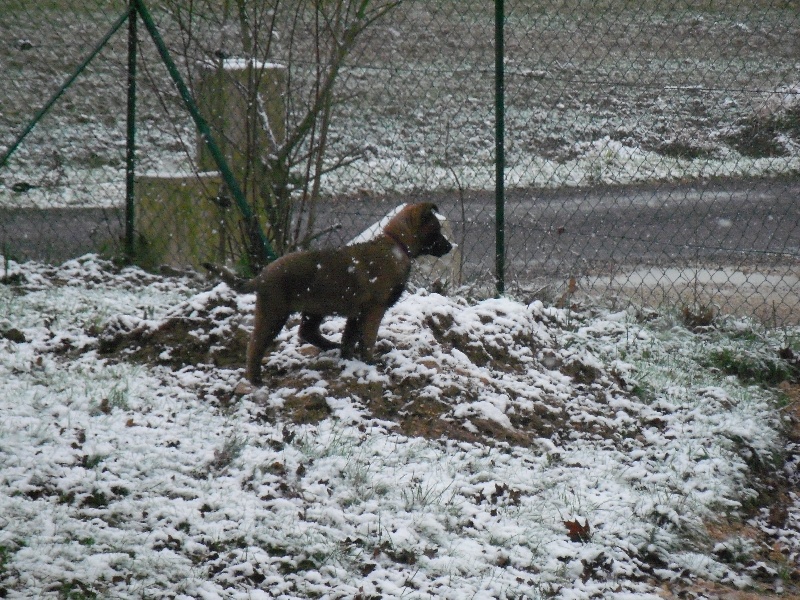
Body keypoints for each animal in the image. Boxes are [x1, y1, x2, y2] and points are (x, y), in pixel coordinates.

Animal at [205, 203, 450, 384]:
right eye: (436, 230)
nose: (450, 247)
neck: (396, 244)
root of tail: (262, 275)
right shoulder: (374, 310)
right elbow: (368, 340)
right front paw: (371, 363)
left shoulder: (357, 314)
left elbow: (350, 339)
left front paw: (347, 359)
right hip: (274, 313)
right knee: (255, 345)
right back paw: (255, 380)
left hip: (314, 307)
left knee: (306, 332)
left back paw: (330, 347)